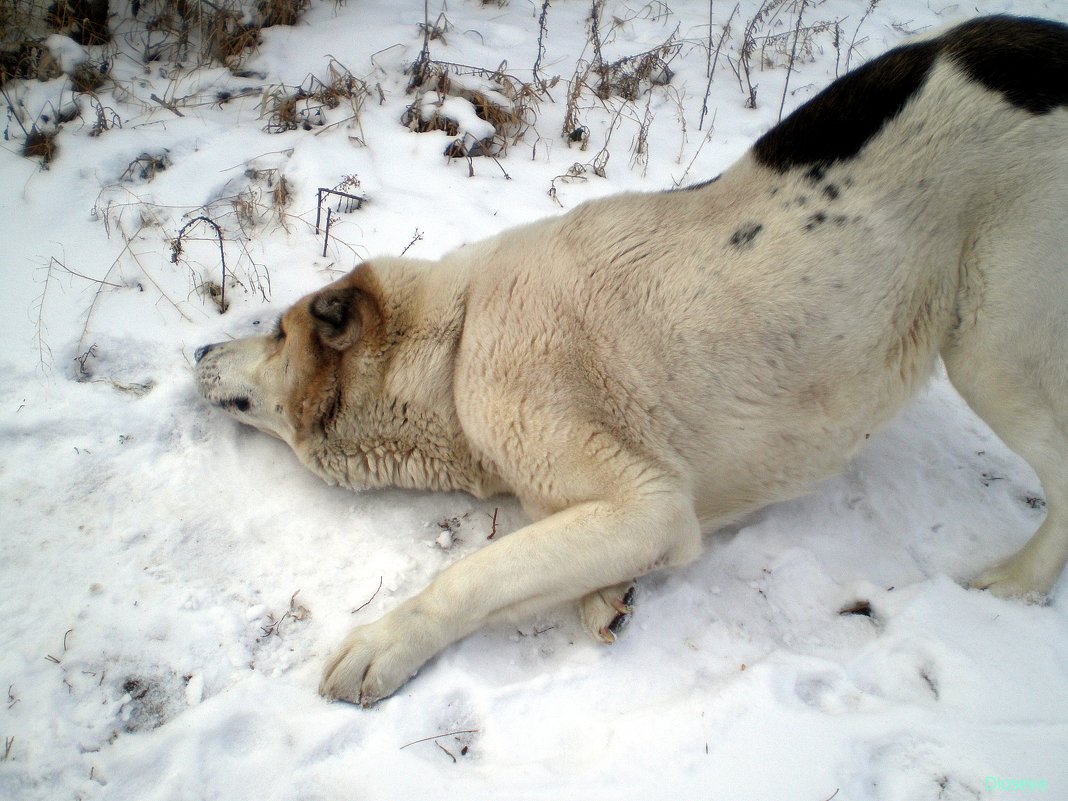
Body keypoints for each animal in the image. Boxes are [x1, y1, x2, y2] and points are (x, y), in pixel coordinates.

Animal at [196, 15, 1068, 709]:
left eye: (276, 335)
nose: (201, 349)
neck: (455, 345)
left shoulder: (647, 502)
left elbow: (479, 573)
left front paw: (385, 642)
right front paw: (606, 596)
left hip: (993, 346)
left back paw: (1019, 582)